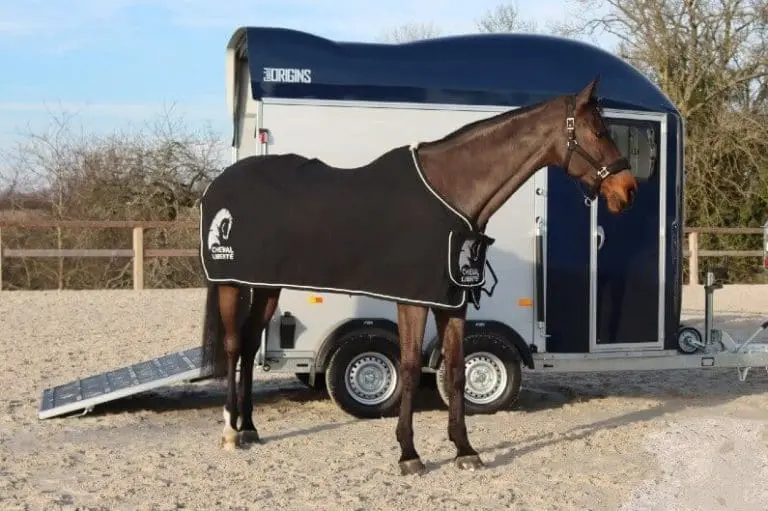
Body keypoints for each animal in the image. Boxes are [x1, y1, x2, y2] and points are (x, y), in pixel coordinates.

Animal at [197, 76, 638, 476]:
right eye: (598, 131)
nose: (628, 189)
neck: (452, 192)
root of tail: (219, 183)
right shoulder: (413, 299)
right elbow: (409, 369)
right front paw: (408, 454)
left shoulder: (452, 301)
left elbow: (457, 371)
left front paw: (464, 450)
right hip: (230, 284)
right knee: (235, 346)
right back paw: (230, 432)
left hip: (266, 286)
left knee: (250, 344)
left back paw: (249, 427)